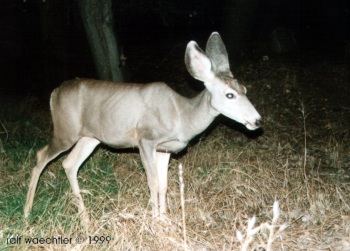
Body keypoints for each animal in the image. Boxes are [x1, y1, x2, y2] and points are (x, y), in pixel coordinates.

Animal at [23, 32, 260, 225]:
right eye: (229, 95)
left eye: (245, 89)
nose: (257, 121)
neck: (182, 116)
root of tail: (54, 92)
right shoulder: (146, 139)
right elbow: (152, 183)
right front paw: (155, 223)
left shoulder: (165, 149)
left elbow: (164, 185)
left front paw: (165, 220)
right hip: (65, 130)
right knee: (41, 156)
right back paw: (27, 212)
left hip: (90, 137)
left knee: (69, 163)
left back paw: (85, 219)